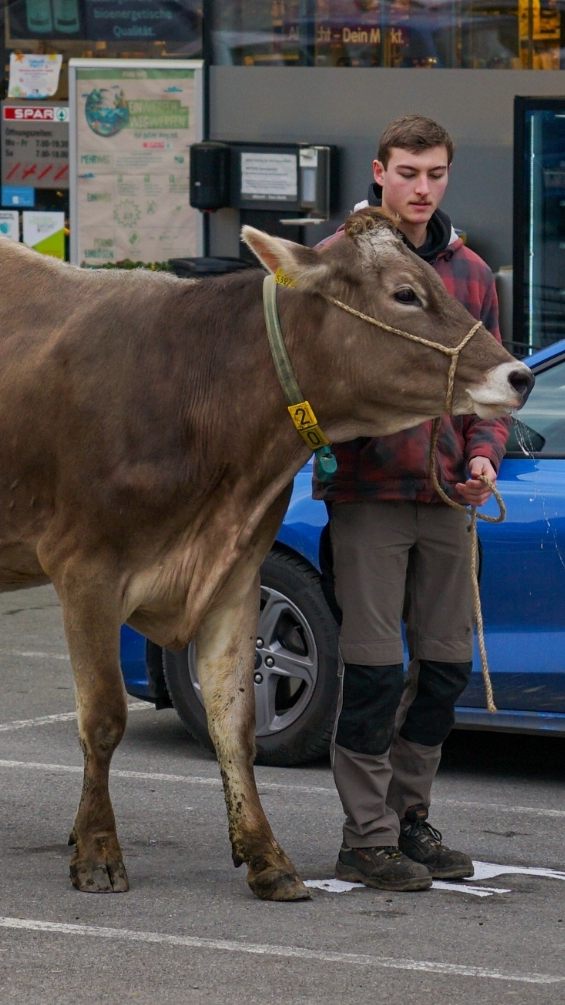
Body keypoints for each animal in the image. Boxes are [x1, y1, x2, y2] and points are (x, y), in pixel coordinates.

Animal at [0, 207, 533, 902]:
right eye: (405, 294)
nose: (520, 375)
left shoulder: (234, 574)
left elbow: (235, 722)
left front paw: (265, 855)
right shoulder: (86, 568)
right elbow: (104, 718)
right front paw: (96, 850)